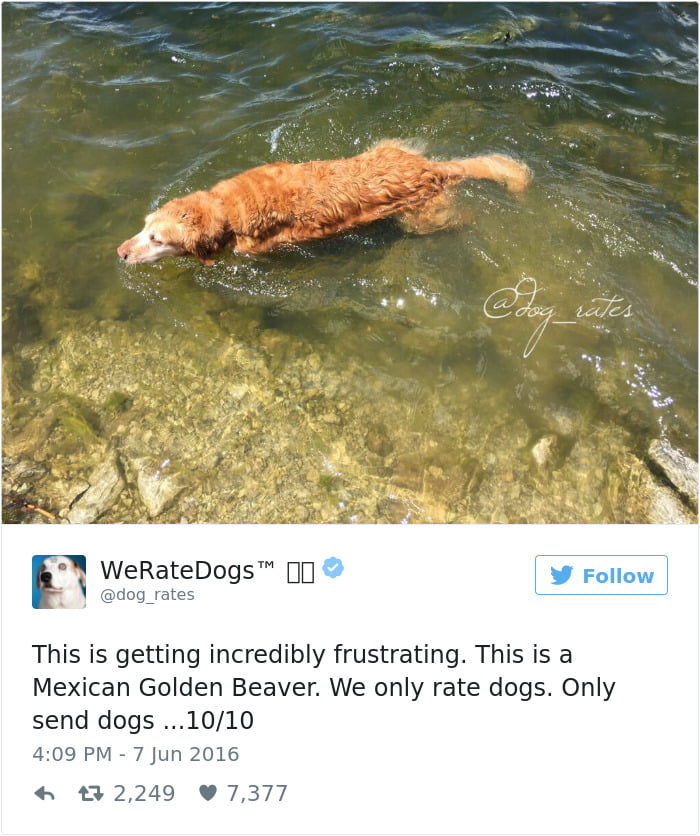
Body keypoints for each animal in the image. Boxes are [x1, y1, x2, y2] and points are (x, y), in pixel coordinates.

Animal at [117, 140, 532, 264]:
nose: (120, 252)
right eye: (144, 227)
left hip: (424, 218)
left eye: (157, 239)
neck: (227, 208)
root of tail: (433, 168)